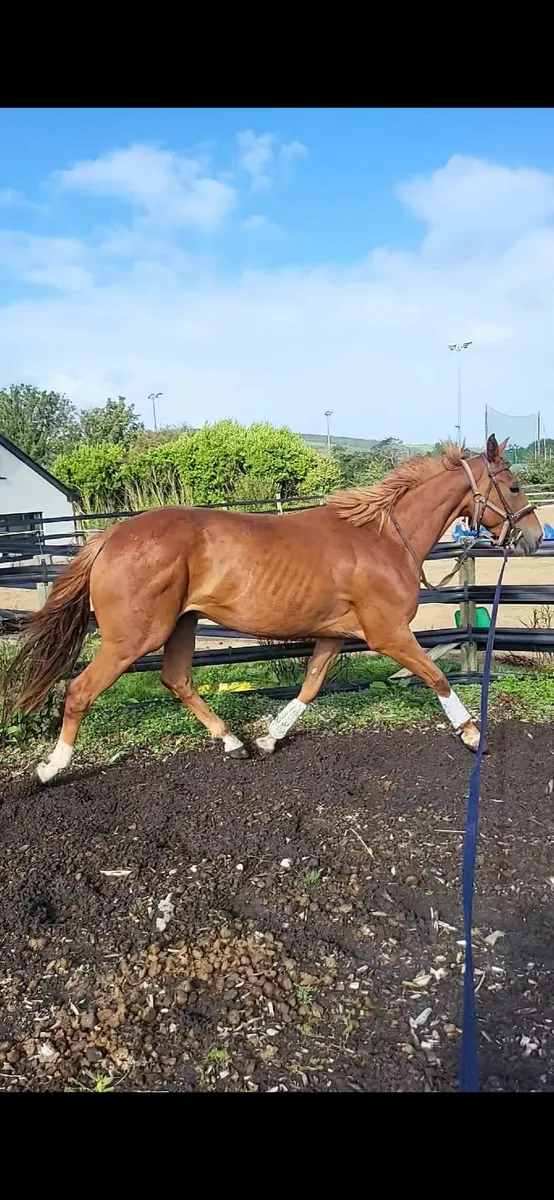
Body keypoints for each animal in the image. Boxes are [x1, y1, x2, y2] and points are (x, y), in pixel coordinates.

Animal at [3, 435, 543, 784]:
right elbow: (436, 676)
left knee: (176, 680)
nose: (535, 537)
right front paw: (472, 734)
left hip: (182, 624)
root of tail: (110, 536)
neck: (385, 538)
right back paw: (51, 768)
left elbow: (311, 685)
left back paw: (233, 742)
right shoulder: (387, 633)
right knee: (79, 690)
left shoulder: (334, 633)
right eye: (515, 487)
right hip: (133, 637)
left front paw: (268, 739)